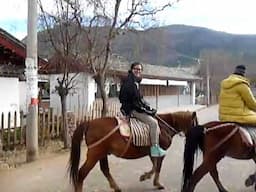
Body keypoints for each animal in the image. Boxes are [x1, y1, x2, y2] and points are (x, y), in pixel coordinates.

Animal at [68, 110, 198, 191]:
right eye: (195, 124)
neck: (164, 126)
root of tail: (89, 123)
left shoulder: (152, 152)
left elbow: (154, 165)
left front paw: (146, 177)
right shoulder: (160, 152)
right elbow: (157, 167)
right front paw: (155, 182)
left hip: (102, 153)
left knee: (105, 170)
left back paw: (116, 187)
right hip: (95, 154)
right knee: (81, 173)